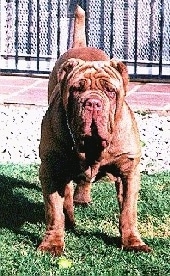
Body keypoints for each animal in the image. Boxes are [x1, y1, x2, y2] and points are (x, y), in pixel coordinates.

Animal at [37, 5, 151, 256]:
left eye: (110, 91)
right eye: (76, 89)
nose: (92, 103)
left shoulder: (128, 173)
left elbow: (128, 211)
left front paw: (133, 242)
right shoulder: (51, 169)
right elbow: (54, 211)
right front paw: (52, 243)